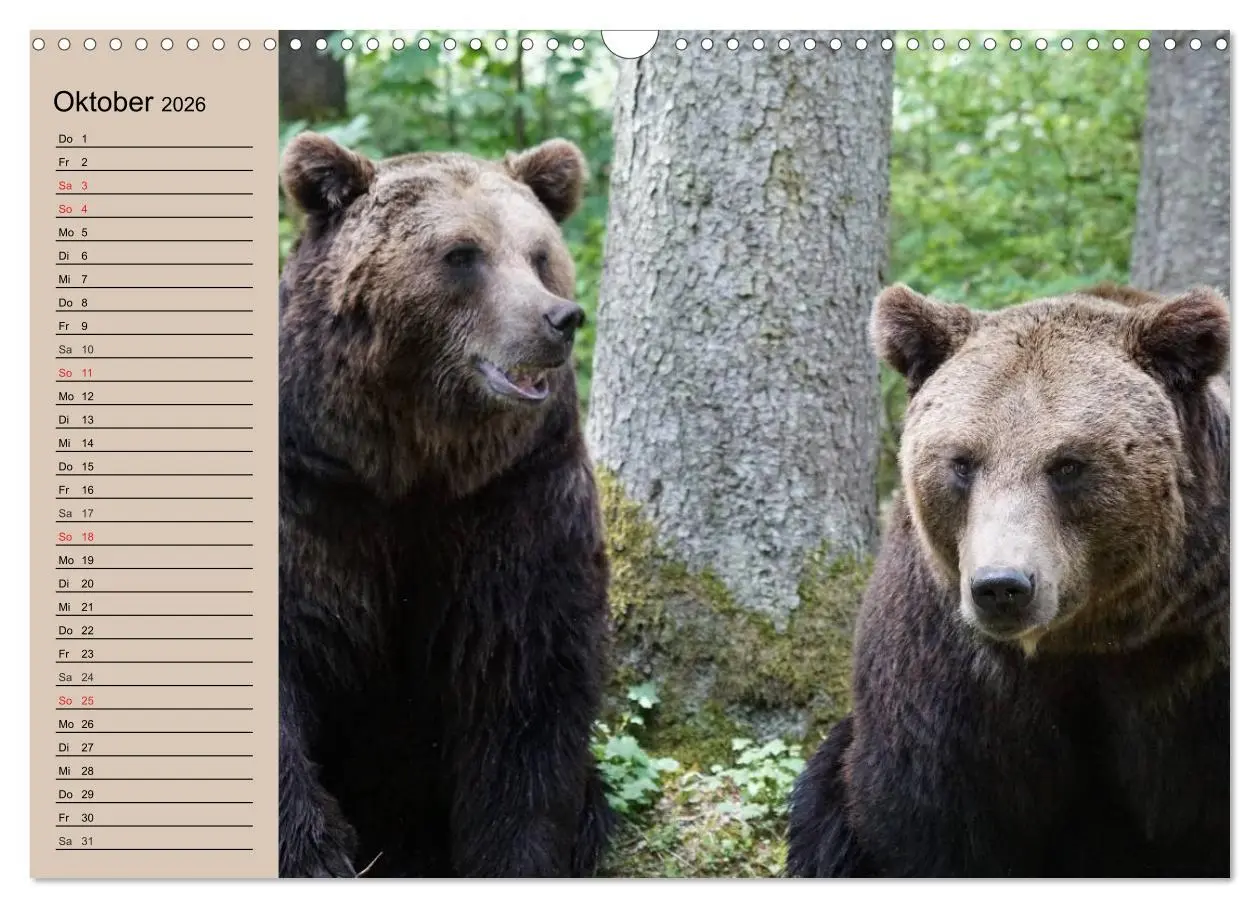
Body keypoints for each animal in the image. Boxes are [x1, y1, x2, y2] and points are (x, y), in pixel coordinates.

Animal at [276, 132, 614, 877]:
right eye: (463, 254)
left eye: (539, 254)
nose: (559, 318)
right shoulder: (313, 495)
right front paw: (319, 855)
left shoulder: (514, 499)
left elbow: (524, 680)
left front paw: (516, 856)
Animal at [788, 282, 1230, 878]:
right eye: (962, 462)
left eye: (1068, 464)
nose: (1002, 586)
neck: (1084, 641)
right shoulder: (953, 666)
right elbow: (932, 814)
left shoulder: (1192, 659)